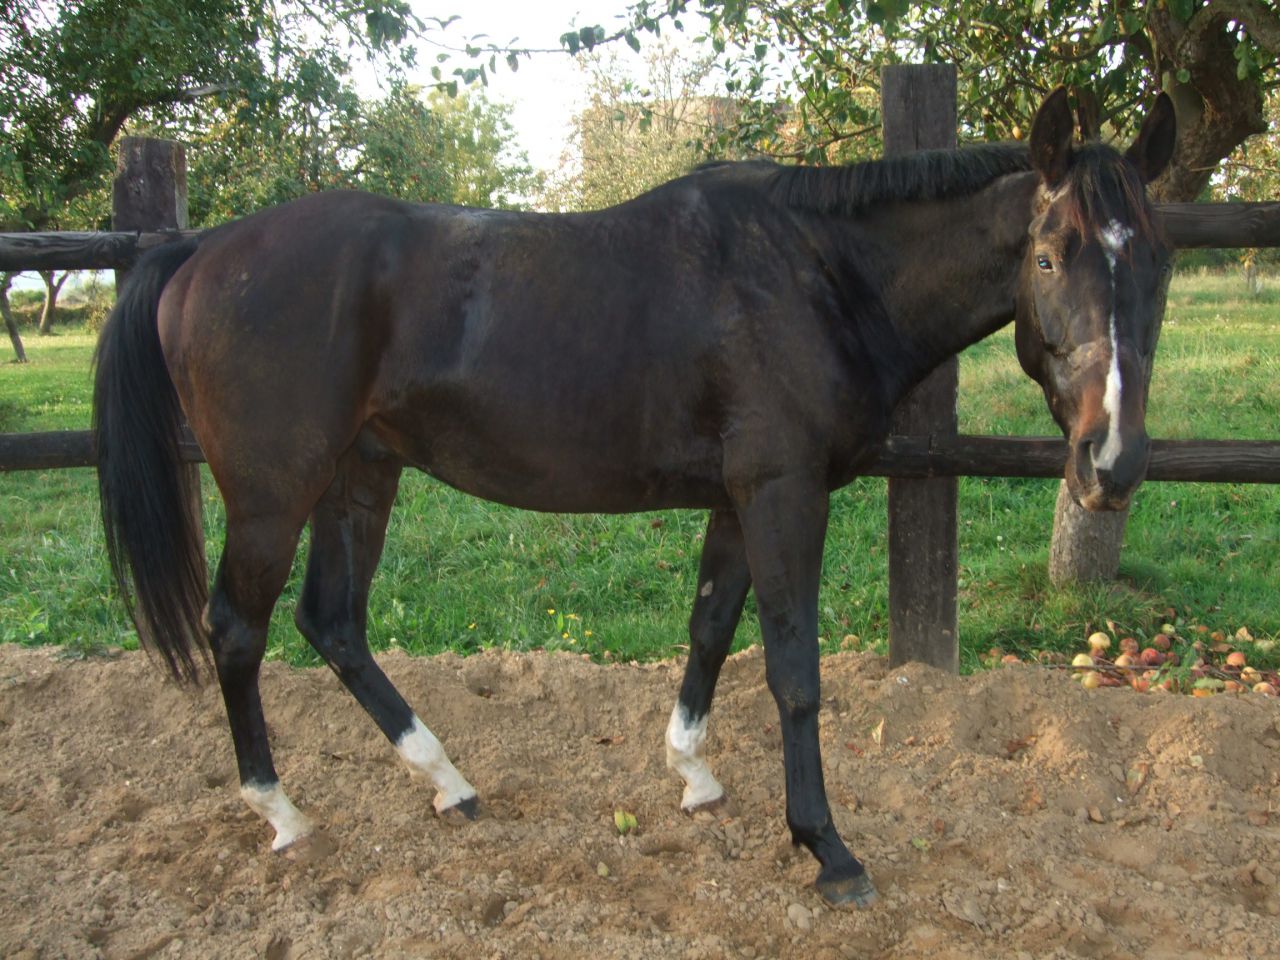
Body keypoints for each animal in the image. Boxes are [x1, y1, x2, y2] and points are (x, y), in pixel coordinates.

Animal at [93, 87, 1175, 906]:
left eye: (1160, 262)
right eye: (1048, 255)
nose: (1111, 463)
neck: (813, 270)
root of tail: (203, 253)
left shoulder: (740, 499)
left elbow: (709, 629)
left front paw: (693, 774)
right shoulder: (783, 494)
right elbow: (793, 672)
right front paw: (826, 849)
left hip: (361, 472)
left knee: (332, 621)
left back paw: (448, 783)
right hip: (274, 493)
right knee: (238, 629)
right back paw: (281, 812)